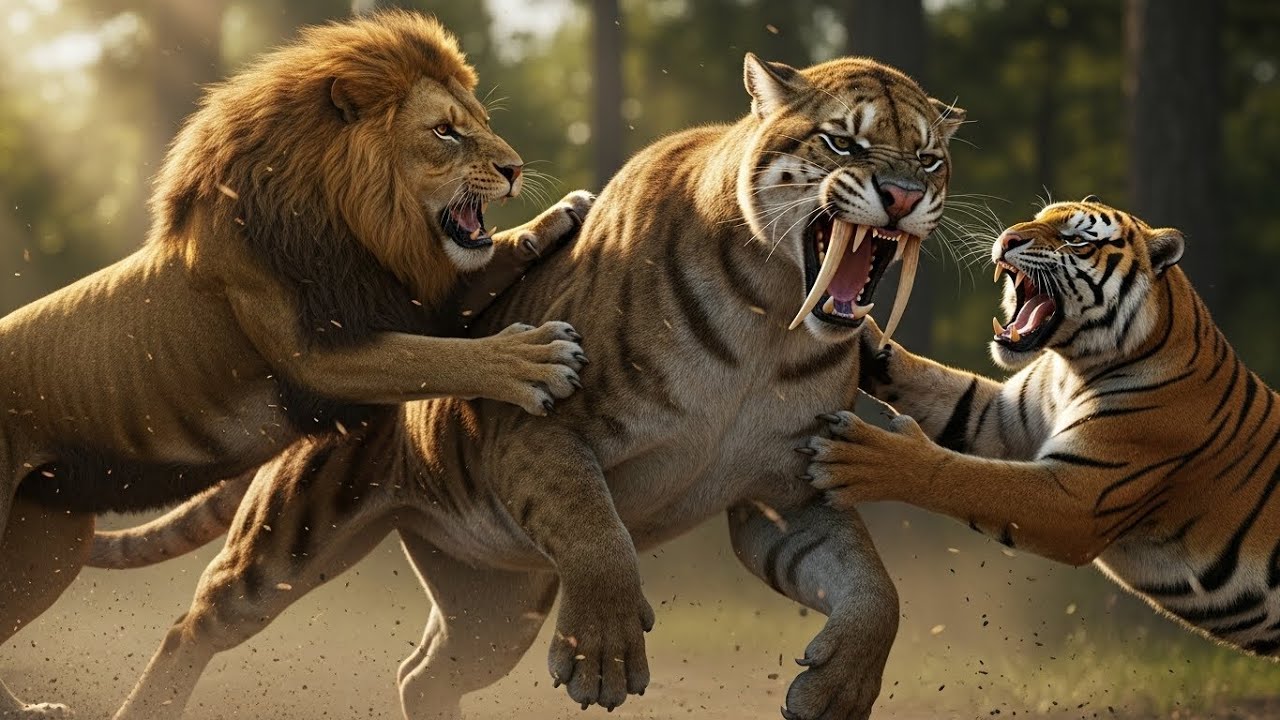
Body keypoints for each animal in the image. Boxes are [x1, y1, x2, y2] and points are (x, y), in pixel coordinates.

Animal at [0, 12, 591, 717]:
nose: (514, 168)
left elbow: (482, 265)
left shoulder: (401, 296)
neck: (350, 221)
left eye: (476, 120)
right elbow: (438, 357)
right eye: (444, 131)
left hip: (49, 544)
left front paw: (559, 215)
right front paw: (532, 360)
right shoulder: (318, 360)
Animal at [104, 54, 966, 720]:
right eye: (842, 140)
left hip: (493, 606)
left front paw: (837, 690)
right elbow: (593, 529)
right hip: (286, 542)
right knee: (190, 627)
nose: (902, 197)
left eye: (928, 159)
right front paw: (604, 658)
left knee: (421, 674)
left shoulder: (787, 495)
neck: (771, 322)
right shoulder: (539, 427)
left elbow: (875, 592)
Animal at [806, 198, 1280, 659]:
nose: (1008, 238)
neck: (1074, 367)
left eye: (1076, 240)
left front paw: (859, 455)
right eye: (1037, 218)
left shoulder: (1078, 496)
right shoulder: (998, 418)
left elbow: (963, 478)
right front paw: (861, 333)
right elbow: (929, 380)